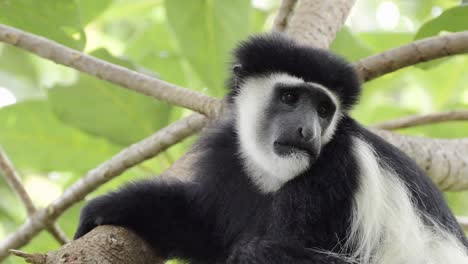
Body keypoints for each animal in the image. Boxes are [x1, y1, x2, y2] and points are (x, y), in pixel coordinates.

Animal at [74, 34, 468, 262]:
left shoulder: (334, 175)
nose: (307, 131)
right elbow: (204, 229)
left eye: (323, 109)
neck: (273, 175)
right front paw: (115, 206)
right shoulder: (227, 160)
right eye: (290, 98)